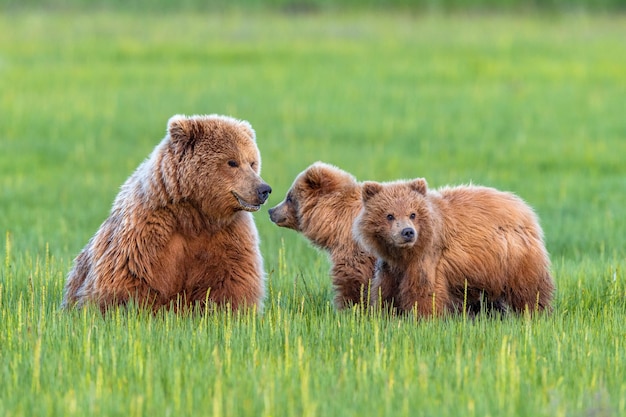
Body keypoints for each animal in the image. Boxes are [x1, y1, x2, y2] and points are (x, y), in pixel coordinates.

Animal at [61, 114, 272, 312]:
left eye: (252, 162)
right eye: (232, 162)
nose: (263, 189)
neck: (195, 216)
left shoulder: (229, 234)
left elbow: (232, 279)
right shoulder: (149, 230)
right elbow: (130, 276)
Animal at [354, 177, 552, 316]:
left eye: (413, 214)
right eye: (389, 215)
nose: (408, 232)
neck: (404, 255)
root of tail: (525, 209)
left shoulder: (428, 258)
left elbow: (424, 292)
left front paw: (422, 318)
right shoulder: (390, 267)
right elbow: (385, 292)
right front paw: (386, 314)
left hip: (513, 257)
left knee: (529, 289)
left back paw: (535, 313)